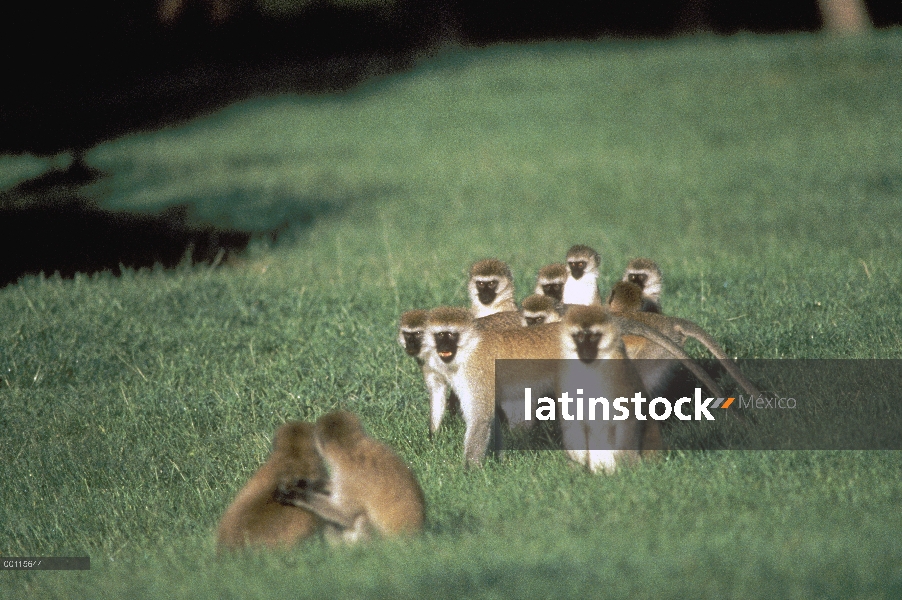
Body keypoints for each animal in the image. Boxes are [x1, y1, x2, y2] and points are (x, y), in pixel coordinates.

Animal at [278, 412, 426, 544]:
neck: (351, 450)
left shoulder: (349, 479)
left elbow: (346, 514)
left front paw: (298, 495)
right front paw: (307, 484)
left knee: (361, 517)